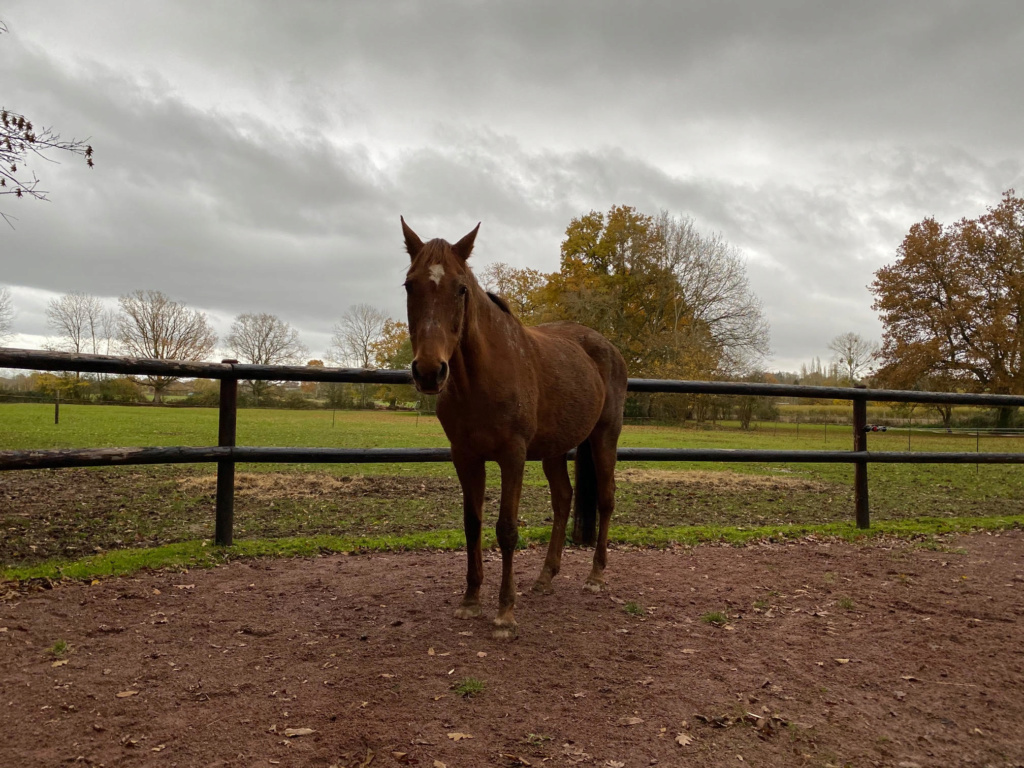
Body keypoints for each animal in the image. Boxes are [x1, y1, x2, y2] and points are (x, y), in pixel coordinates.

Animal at [397, 219, 622, 638]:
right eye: (409, 285)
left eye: (461, 288)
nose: (429, 372)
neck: (479, 378)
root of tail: (606, 347)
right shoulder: (465, 457)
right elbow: (472, 524)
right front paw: (470, 601)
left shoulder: (512, 457)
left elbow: (506, 529)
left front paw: (504, 612)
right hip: (554, 450)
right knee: (563, 499)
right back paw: (546, 577)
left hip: (605, 438)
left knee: (606, 499)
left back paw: (596, 576)